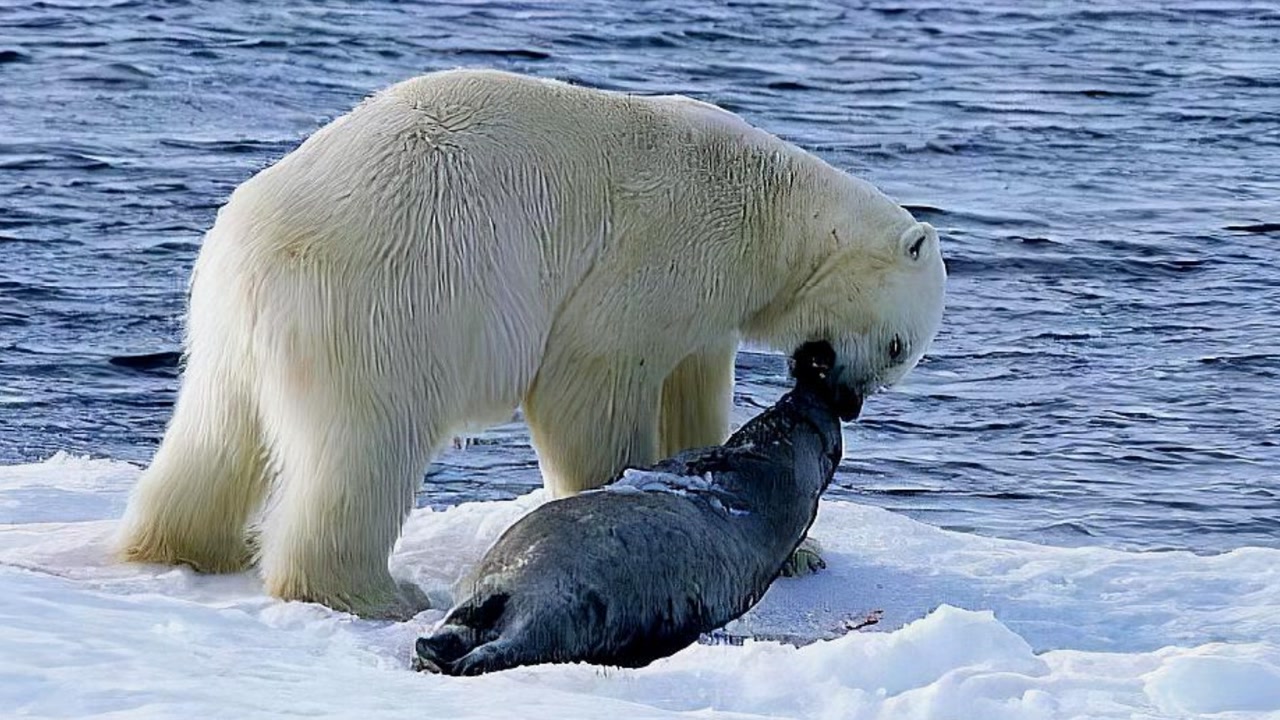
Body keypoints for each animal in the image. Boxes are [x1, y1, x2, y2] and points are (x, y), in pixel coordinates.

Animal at [115, 68, 947, 617]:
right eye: (899, 346)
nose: (849, 401)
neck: (771, 208)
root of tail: (251, 248)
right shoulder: (668, 241)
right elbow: (595, 374)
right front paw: (619, 498)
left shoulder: (706, 308)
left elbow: (692, 388)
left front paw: (800, 549)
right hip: (388, 299)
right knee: (367, 445)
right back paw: (375, 590)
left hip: (231, 326)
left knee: (218, 430)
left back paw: (190, 544)